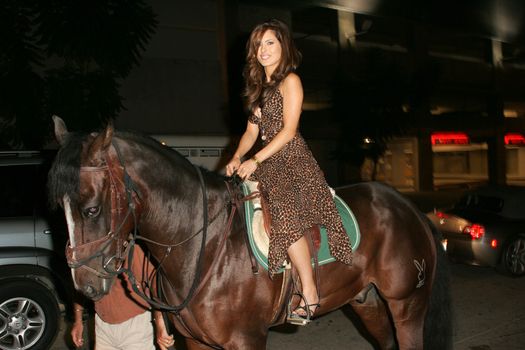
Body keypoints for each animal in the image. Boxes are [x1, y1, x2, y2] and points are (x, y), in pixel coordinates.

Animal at [48, 116, 450, 348]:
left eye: (91, 209)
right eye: (58, 210)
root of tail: (410, 208)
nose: (85, 287)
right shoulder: (197, 343)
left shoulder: (247, 340)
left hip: (407, 305)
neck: (204, 244)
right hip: (367, 301)